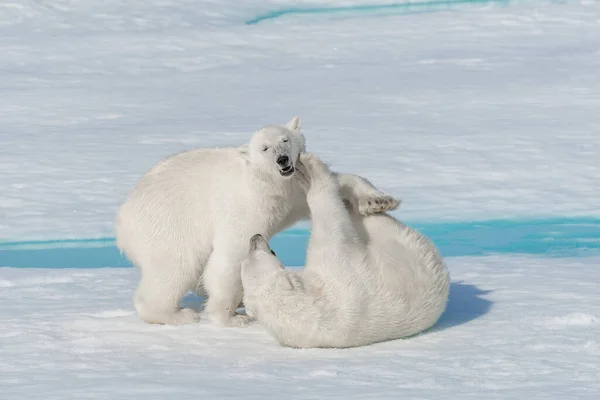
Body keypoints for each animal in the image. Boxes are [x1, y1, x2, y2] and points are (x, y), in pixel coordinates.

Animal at [115, 117, 400, 326]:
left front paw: (380, 201)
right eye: (264, 148)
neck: (269, 184)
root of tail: (122, 221)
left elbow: (340, 181)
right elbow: (231, 254)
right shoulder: (246, 206)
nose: (282, 159)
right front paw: (230, 318)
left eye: (285, 139)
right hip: (168, 225)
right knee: (175, 267)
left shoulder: (292, 191)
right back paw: (177, 314)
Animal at [239, 155, 450, 348]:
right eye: (273, 252)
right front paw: (311, 175)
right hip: (397, 238)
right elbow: (333, 222)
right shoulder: (336, 267)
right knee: (364, 218)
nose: (255, 237)